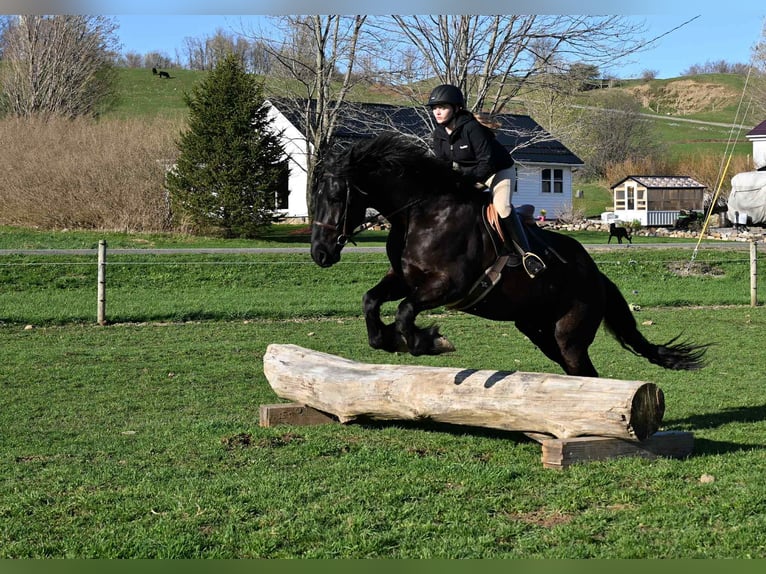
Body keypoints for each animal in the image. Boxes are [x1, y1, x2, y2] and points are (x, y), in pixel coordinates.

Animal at [310, 133, 708, 377]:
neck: (421, 212)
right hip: (538, 330)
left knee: (585, 372)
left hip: (569, 335)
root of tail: (598, 277)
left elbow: (407, 311)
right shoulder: (405, 279)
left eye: (336, 196)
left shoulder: (449, 286)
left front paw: (430, 341)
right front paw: (390, 339)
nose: (319, 253)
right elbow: (371, 301)